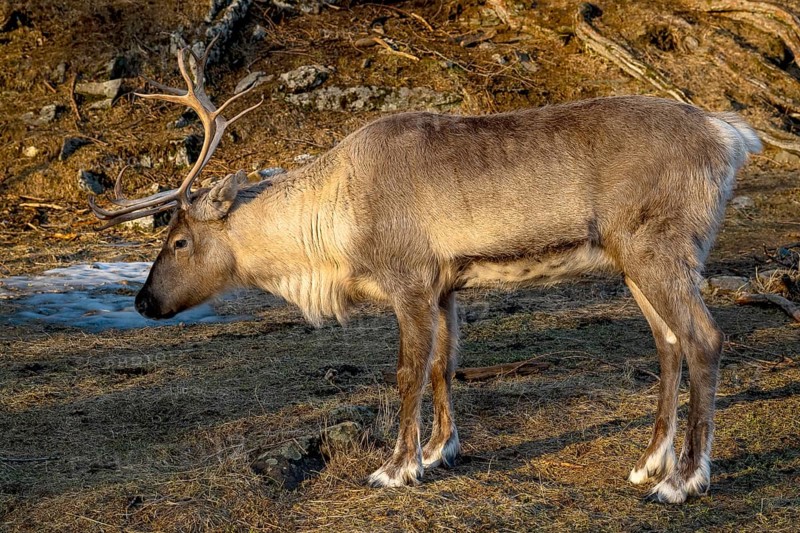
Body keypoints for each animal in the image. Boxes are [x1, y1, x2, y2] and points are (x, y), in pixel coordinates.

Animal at [89, 39, 762, 503]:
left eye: (179, 240)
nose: (142, 302)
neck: (332, 233)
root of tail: (732, 136)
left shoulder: (408, 279)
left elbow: (408, 371)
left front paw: (396, 467)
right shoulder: (445, 285)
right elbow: (445, 363)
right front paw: (441, 451)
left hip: (658, 249)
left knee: (704, 338)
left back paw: (683, 480)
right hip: (633, 261)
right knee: (669, 343)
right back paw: (649, 463)